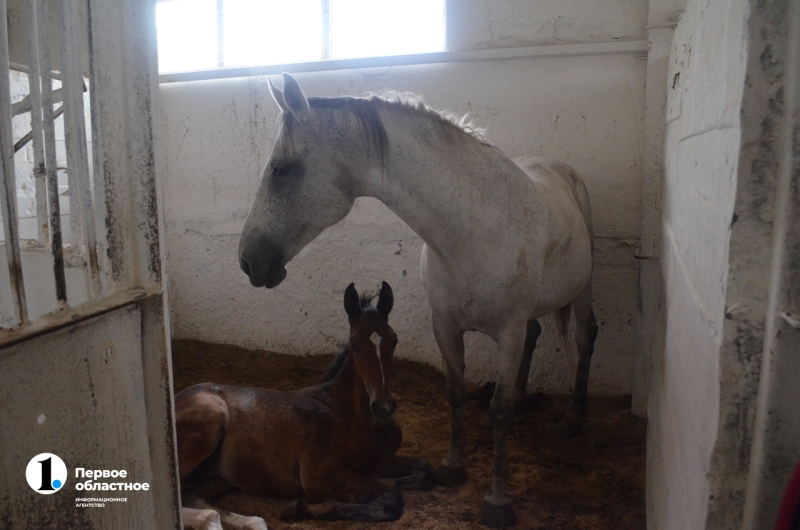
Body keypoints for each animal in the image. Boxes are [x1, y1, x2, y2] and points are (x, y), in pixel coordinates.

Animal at [177, 278, 434, 524]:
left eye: (394, 340)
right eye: (355, 344)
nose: (383, 408)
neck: (350, 417)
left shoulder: (380, 461)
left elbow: (425, 470)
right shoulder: (319, 476)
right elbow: (392, 500)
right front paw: (302, 508)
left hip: (223, 476)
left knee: (196, 497)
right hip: (207, 425)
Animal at [234, 73, 596, 524]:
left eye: (281, 170)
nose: (247, 261)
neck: (472, 228)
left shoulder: (507, 333)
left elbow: (497, 411)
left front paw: (497, 502)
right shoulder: (445, 326)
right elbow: (456, 392)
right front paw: (453, 468)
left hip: (581, 292)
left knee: (583, 339)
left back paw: (572, 418)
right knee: (536, 336)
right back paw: (523, 398)